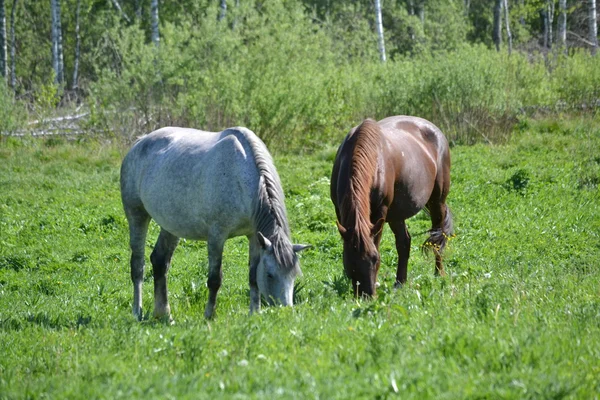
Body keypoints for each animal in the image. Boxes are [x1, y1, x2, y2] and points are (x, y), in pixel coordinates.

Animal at [121, 126, 310, 320]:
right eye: (270, 275)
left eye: (294, 275)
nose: (285, 311)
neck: (240, 176)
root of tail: (140, 141)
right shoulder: (217, 237)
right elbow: (214, 279)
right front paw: (209, 316)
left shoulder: (253, 236)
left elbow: (252, 277)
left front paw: (254, 313)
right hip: (137, 215)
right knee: (138, 265)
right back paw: (137, 311)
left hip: (171, 226)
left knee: (160, 261)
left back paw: (164, 314)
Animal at [330, 115, 452, 296]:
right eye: (349, 261)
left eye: (375, 259)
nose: (366, 295)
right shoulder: (340, 211)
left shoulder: (380, 212)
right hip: (396, 214)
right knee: (404, 242)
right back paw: (400, 283)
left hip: (437, 202)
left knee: (437, 237)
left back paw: (438, 274)